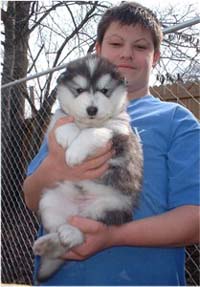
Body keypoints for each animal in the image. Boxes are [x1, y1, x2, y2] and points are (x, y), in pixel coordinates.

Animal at [33, 54, 142, 282]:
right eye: (79, 90)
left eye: (104, 90)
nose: (92, 109)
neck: (88, 123)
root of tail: (78, 209)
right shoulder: (55, 122)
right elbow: (61, 120)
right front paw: (68, 134)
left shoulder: (118, 132)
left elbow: (94, 133)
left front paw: (75, 151)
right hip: (49, 201)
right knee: (61, 234)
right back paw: (50, 242)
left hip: (111, 206)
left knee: (85, 228)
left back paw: (72, 234)